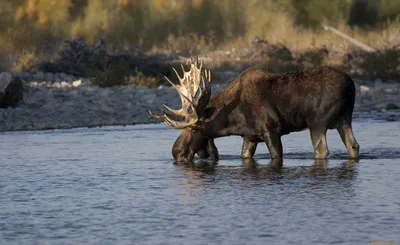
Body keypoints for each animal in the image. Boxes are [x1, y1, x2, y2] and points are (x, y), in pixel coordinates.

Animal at [149, 57, 360, 163]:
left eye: (193, 129)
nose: (176, 153)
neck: (232, 121)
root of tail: (351, 86)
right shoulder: (250, 137)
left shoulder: (271, 130)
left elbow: (276, 156)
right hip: (344, 119)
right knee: (353, 146)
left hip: (318, 122)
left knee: (321, 150)